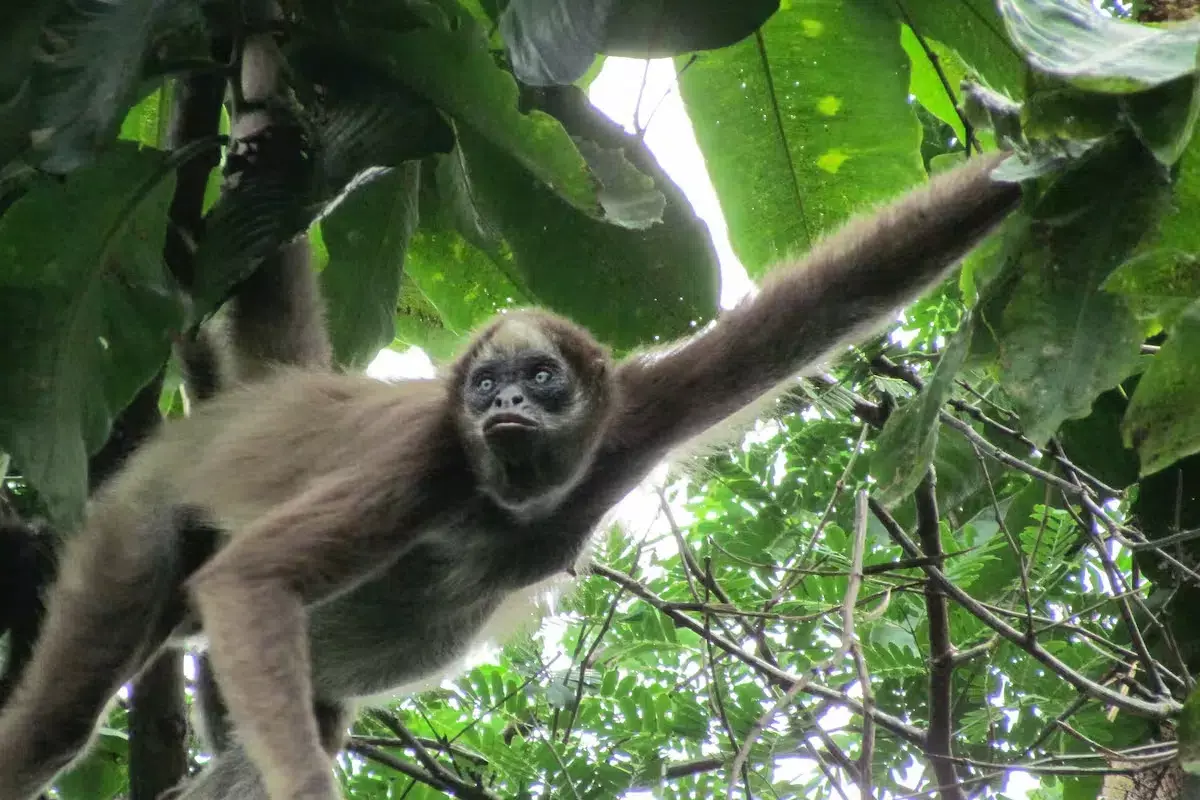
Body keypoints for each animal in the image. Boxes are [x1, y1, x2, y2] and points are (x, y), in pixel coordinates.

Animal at [0, 151, 1023, 800]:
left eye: (542, 377)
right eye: (489, 382)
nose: (510, 406)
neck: (515, 504)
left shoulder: (634, 417)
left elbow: (845, 291)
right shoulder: (428, 460)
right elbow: (254, 579)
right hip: (138, 520)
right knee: (61, 724)